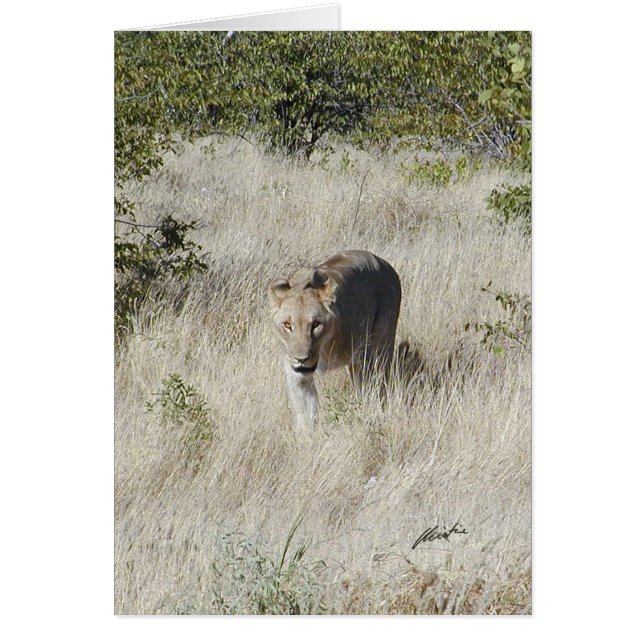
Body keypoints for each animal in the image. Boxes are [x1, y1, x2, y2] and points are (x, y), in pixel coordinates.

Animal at [269, 250, 402, 431]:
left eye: (316, 324)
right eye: (288, 325)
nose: (301, 359)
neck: (325, 348)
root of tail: (382, 261)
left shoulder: (361, 357)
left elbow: (365, 392)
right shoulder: (296, 374)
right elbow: (305, 413)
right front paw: (307, 436)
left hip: (383, 342)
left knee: (382, 376)